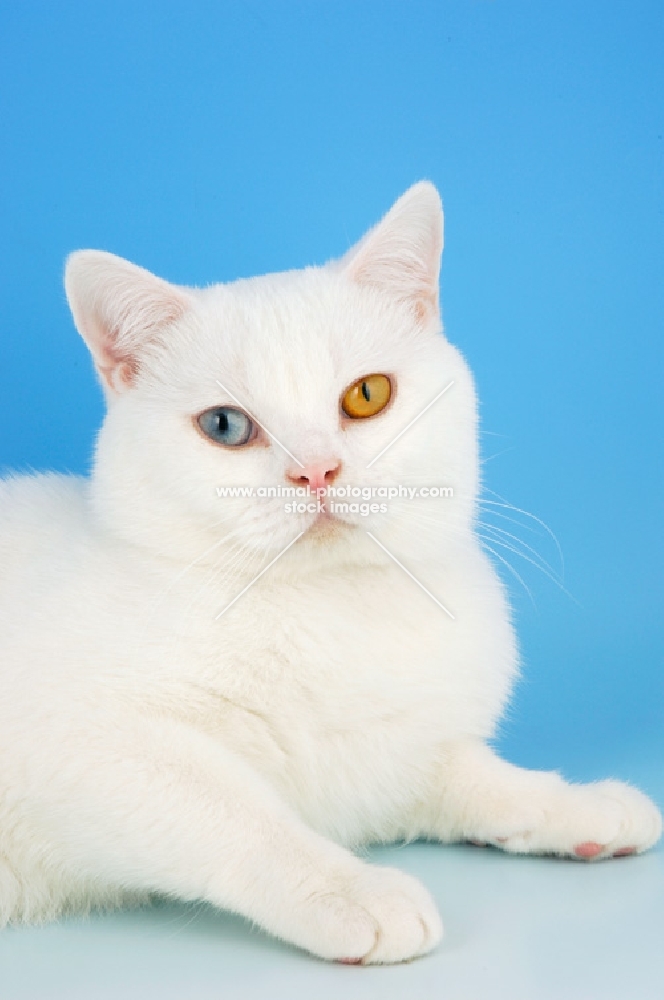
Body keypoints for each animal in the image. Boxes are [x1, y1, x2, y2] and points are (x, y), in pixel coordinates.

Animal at [0, 184, 660, 964]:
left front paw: (574, 803)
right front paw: (352, 891)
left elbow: (464, 771)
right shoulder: (85, 744)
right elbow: (235, 813)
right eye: (225, 426)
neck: (331, 610)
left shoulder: (389, 759)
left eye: (367, 395)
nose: (316, 471)